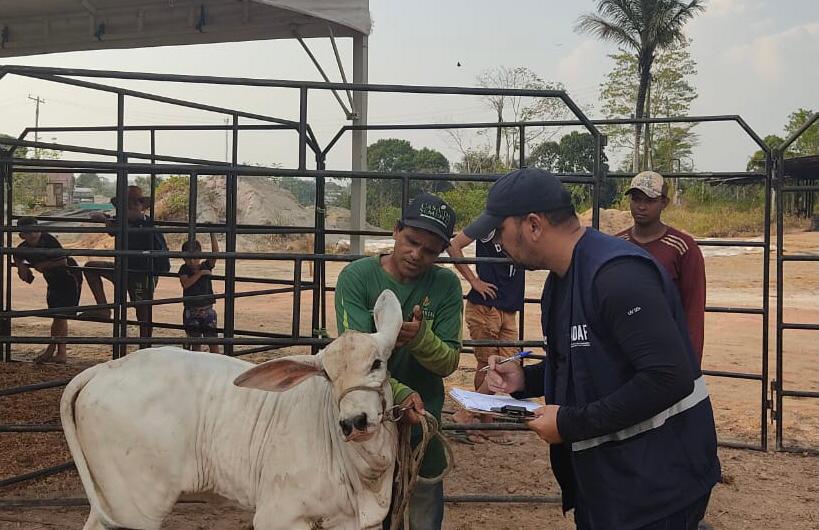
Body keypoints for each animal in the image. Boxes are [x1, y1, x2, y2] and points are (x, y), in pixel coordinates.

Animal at [60, 288, 404, 528]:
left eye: (377, 363)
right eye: (328, 376)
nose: (354, 421)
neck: (365, 475)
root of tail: (105, 369)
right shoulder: (279, 515)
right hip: (135, 506)